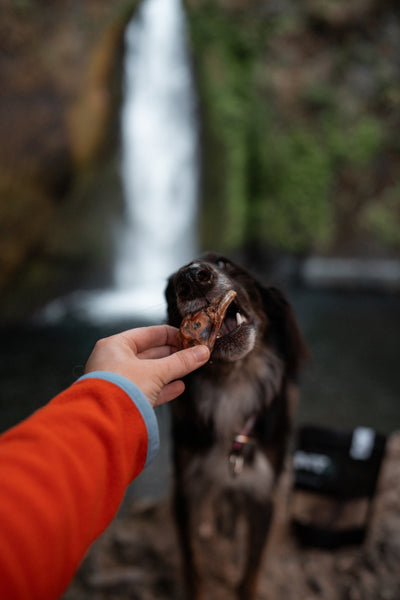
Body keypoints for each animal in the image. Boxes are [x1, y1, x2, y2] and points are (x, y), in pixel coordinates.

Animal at [164, 252, 308, 600]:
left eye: (224, 263)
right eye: (172, 289)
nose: (191, 277)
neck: (232, 383)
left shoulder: (261, 493)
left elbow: (251, 569)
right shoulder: (185, 488)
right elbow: (192, 564)